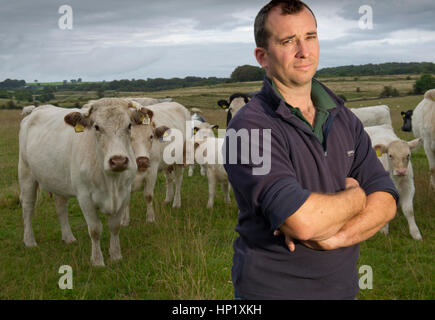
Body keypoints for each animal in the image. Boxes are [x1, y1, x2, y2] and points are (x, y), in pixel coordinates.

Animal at [18, 99, 146, 266]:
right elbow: (95, 229)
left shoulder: (124, 194)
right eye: (96, 127)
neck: (111, 182)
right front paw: (97, 261)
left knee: (61, 207)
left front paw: (116, 255)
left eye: (129, 125)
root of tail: (36, 110)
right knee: (28, 206)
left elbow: (115, 227)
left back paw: (68, 237)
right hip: (26, 173)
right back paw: (29, 241)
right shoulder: (85, 197)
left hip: (58, 179)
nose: (118, 161)